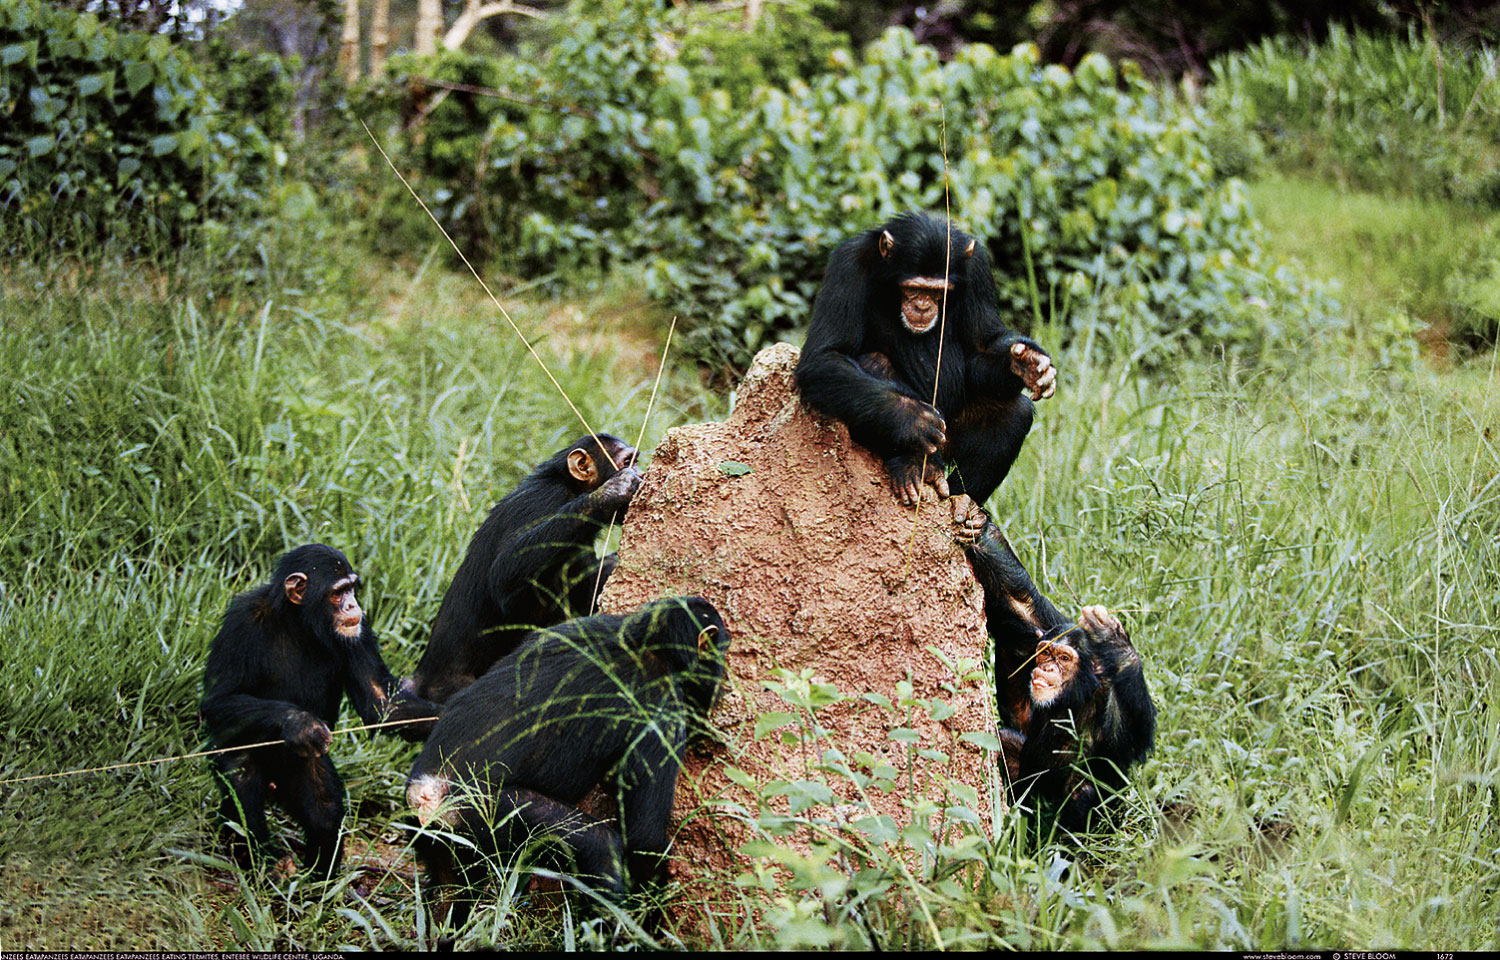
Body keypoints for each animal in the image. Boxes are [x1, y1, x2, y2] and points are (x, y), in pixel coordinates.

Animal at [195, 543, 429, 876]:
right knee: (240, 769)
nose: (352, 605)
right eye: (338, 592)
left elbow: (382, 703)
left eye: (351, 588)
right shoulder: (240, 622)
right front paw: (301, 724)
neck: (297, 623)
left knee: (323, 809)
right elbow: (219, 699)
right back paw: (260, 860)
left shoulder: (359, 630)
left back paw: (316, 880)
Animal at [393, 432, 639, 717]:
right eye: (627, 462)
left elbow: (584, 591)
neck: (573, 488)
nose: (641, 473)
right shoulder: (540, 504)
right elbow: (506, 573)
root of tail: (421, 679)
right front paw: (610, 493)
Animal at [405, 594, 732, 930]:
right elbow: (645, 836)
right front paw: (648, 926)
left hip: (435, 837)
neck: (645, 643)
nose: (723, 676)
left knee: (453, 892)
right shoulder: (663, 711)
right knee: (599, 847)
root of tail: (425, 792)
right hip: (483, 812)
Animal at [792, 211, 1062, 510]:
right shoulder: (848, 265)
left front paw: (1027, 365)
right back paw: (914, 465)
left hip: (949, 440)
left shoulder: (977, 269)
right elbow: (825, 356)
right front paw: (913, 419)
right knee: (875, 361)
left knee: (1015, 412)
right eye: (912, 287)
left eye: (938, 292)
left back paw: (968, 510)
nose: (922, 305)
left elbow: (983, 343)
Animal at [960, 516, 1158, 834]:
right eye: (1046, 653)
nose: (1048, 667)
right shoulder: (1042, 629)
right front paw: (980, 526)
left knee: (1084, 794)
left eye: (1064, 658)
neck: (1075, 695)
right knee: (1004, 740)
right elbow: (1019, 602)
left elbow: (1135, 731)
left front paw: (1113, 639)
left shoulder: (1111, 705)